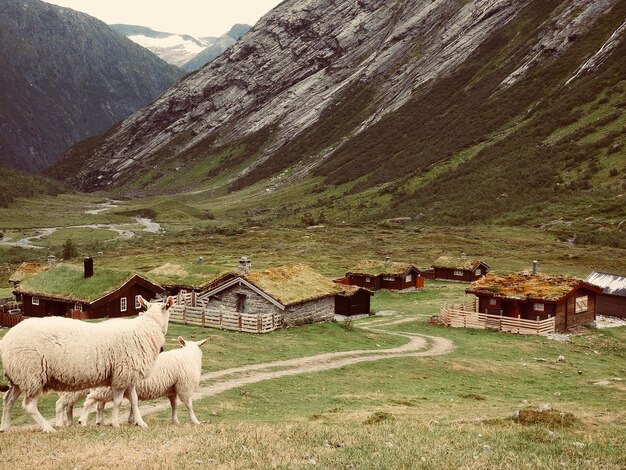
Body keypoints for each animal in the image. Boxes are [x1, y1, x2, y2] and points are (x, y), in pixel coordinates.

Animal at [0, 296, 173, 432]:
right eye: (168, 309)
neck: (146, 329)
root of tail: (6, 340)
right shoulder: (122, 376)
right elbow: (118, 402)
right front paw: (115, 423)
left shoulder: (128, 377)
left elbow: (134, 401)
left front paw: (141, 423)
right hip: (32, 374)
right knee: (28, 406)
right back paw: (48, 428)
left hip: (19, 375)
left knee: (8, 400)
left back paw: (5, 428)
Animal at [77, 334, 210, 426]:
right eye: (181, 345)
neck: (190, 355)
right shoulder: (185, 387)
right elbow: (189, 405)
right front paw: (195, 421)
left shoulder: (172, 389)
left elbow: (174, 405)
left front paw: (175, 421)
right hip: (107, 389)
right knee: (90, 401)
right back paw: (82, 421)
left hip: (105, 389)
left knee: (100, 404)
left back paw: (100, 421)